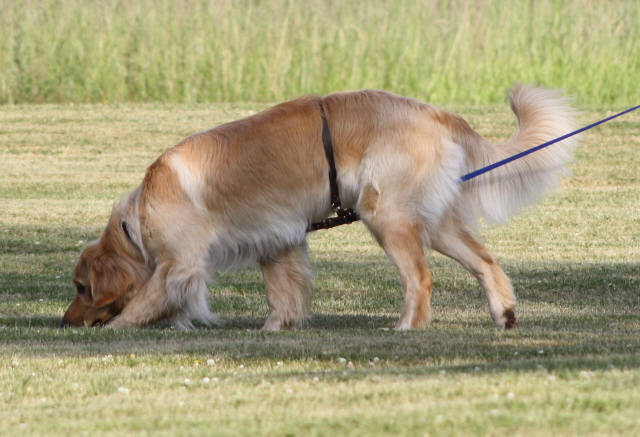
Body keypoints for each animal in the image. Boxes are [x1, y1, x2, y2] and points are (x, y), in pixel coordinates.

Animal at [60, 85, 576, 328]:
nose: (63, 321)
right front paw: (275, 329)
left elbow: (143, 302)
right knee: (485, 260)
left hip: (385, 215)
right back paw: (504, 314)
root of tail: (434, 111)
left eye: (82, 288)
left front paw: (118, 326)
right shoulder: (277, 243)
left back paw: (406, 327)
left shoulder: (179, 265)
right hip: (434, 222)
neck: (135, 221)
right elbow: (283, 295)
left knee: (420, 279)